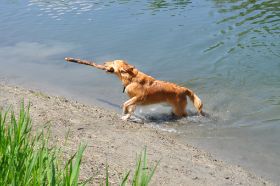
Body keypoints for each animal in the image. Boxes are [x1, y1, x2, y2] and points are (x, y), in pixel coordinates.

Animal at [64, 57, 202, 120]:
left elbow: (125, 104)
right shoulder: (135, 100)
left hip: (179, 109)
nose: (103, 63)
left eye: (113, 62)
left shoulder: (139, 97)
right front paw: (127, 116)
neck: (131, 79)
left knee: (184, 114)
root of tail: (183, 89)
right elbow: (130, 108)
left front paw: (124, 113)